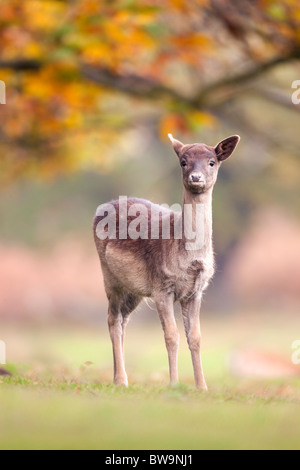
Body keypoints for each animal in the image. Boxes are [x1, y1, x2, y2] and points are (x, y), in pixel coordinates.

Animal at [93, 132, 239, 390]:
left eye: (212, 161)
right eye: (183, 161)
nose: (196, 177)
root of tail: (100, 208)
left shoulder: (196, 291)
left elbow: (196, 337)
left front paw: (202, 387)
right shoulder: (162, 286)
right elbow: (171, 336)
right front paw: (173, 384)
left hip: (134, 290)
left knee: (123, 321)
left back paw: (117, 376)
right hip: (110, 277)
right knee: (112, 319)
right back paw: (121, 380)